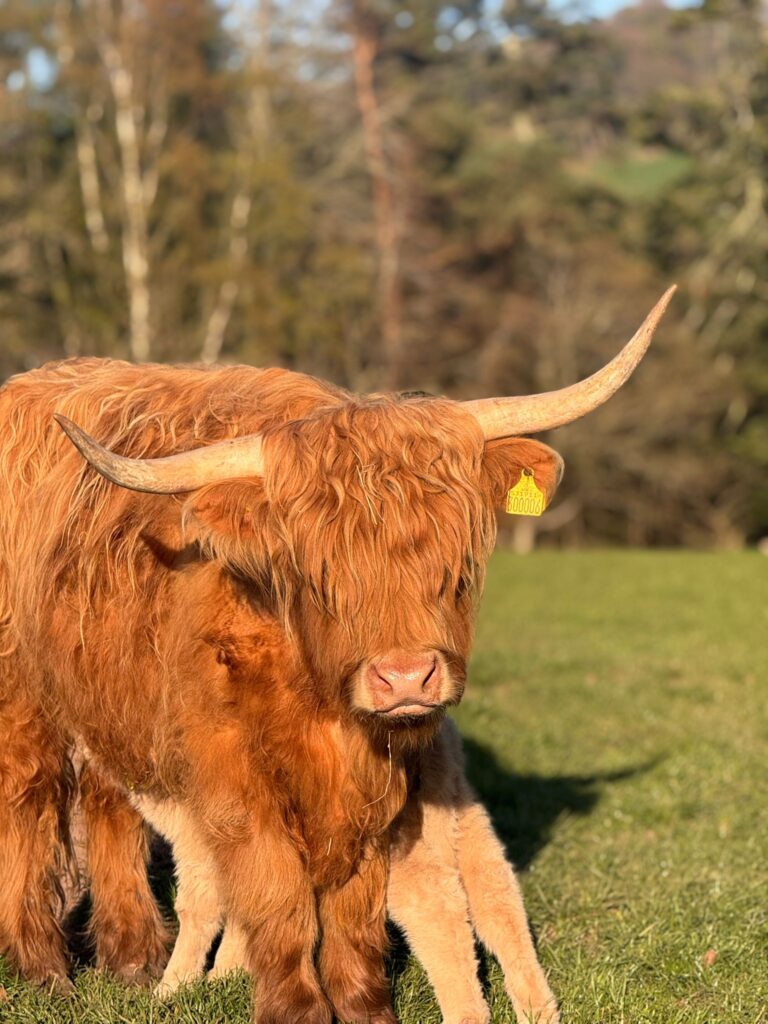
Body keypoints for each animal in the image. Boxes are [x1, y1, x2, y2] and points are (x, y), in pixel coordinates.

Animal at [0, 289, 673, 1024]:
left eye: (454, 558)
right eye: (320, 571)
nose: (405, 678)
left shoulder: (375, 794)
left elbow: (353, 917)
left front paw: (364, 1008)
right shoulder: (235, 786)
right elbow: (278, 905)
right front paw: (285, 1005)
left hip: (109, 707)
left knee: (109, 811)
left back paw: (132, 963)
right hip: (24, 706)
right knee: (28, 808)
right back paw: (47, 971)